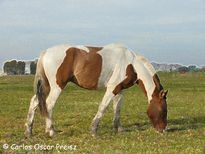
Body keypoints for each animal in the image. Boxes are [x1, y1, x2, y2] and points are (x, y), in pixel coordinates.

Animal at [24, 43, 168, 137]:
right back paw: (51, 131)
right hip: (56, 87)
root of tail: (45, 53)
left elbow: (117, 109)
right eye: (163, 110)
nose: (163, 130)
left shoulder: (119, 90)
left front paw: (119, 129)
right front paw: (93, 131)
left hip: (47, 86)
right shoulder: (112, 88)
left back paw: (29, 130)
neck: (131, 64)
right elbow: (103, 107)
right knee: (49, 105)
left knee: (35, 102)